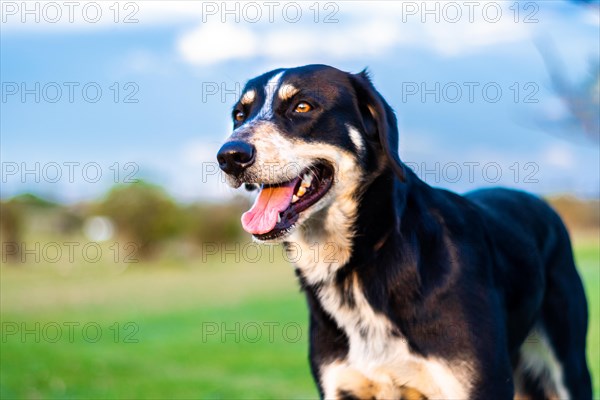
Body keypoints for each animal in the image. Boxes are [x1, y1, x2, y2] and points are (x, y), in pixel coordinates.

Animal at [216, 64, 592, 398]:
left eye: (302, 106)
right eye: (239, 115)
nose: (229, 156)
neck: (364, 261)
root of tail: (538, 201)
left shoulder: (479, 385)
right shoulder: (342, 387)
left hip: (569, 365)